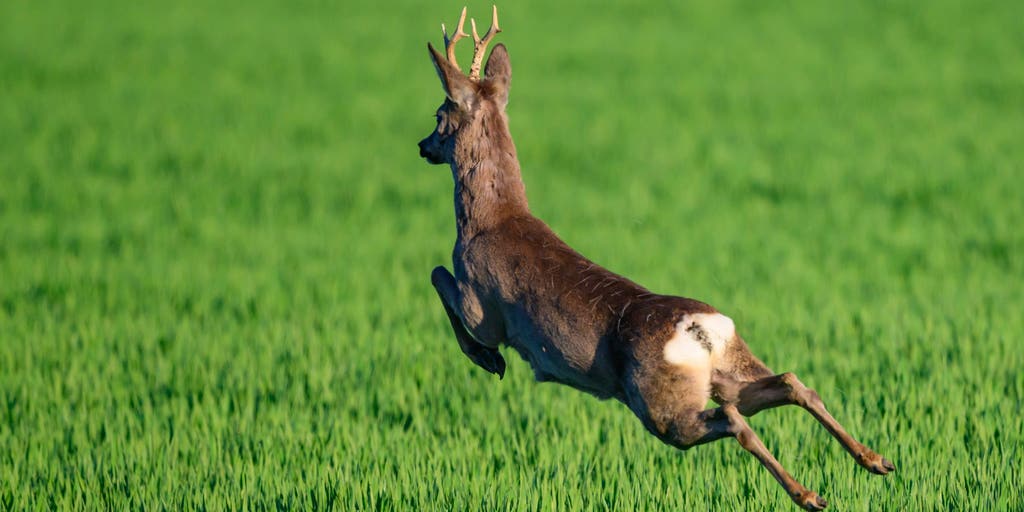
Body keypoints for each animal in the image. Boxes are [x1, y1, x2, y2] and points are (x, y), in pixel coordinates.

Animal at [418, 7, 894, 510]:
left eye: (439, 114)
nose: (422, 145)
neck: (493, 218)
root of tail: (700, 329)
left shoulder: (484, 306)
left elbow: (438, 275)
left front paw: (487, 359)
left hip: (659, 405)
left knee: (733, 419)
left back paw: (809, 494)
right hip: (726, 370)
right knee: (789, 383)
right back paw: (875, 460)